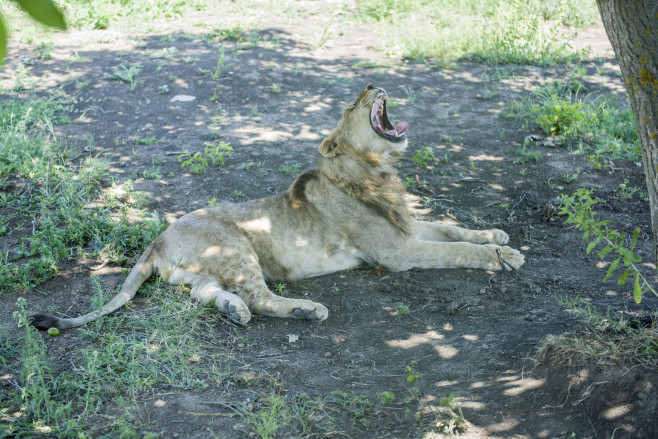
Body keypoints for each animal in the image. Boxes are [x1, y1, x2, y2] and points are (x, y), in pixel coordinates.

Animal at [29, 84, 524, 332]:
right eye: (353, 104)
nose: (373, 83)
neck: (377, 171)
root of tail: (158, 239)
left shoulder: (405, 227)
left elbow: (450, 227)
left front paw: (498, 236)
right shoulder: (396, 252)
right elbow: (454, 250)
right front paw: (502, 256)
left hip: (205, 270)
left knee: (206, 294)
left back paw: (235, 311)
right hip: (235, 248)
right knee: (261, 297)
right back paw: (305, 310)